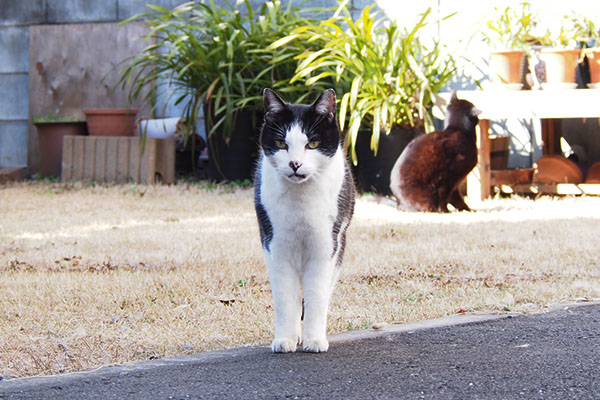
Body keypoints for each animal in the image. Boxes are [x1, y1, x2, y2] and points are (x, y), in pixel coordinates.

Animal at [254, 88, 356, 354]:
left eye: (313, 143)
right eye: (281, 143)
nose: (295, 164)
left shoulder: (325, 246)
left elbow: (317, 296)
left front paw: (314, 340)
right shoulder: (276, 246)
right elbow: (284, 298)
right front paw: (285, 339)